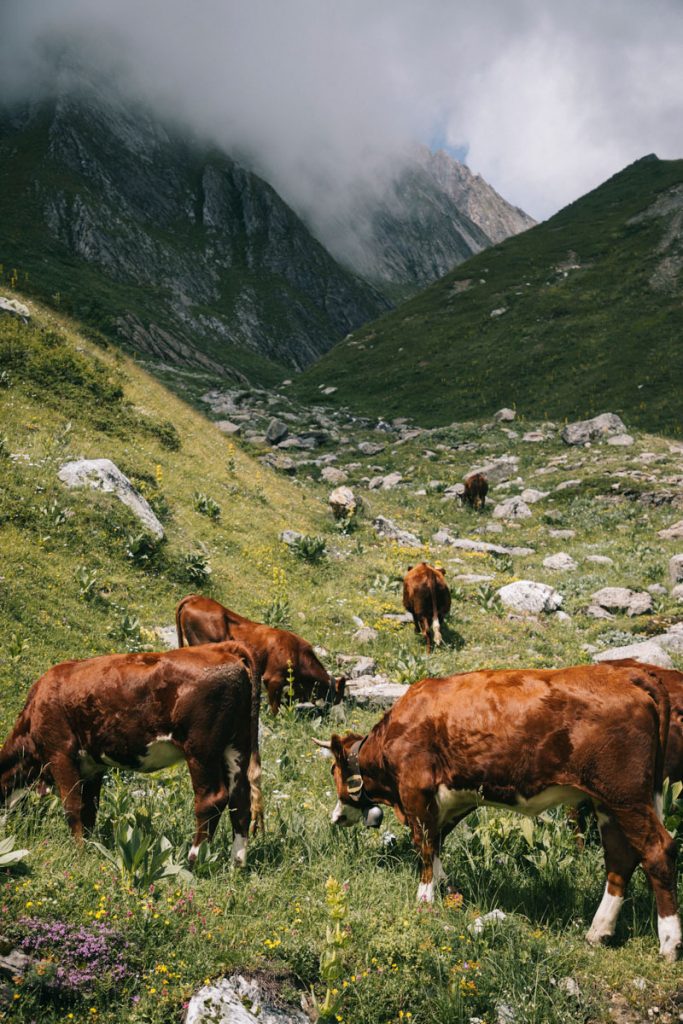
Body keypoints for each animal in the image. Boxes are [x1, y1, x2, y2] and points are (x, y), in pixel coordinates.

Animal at [0, 641, 263, 868]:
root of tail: (222, 648)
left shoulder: (60, 753)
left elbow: (73, 807)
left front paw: (78, 852)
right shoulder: (92, 766)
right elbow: (89, 809)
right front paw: (89, 844)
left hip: (201, 750)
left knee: (211, 799)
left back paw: (195, 859)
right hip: (237, 746)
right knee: (240, 801)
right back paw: (236, 864)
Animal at [176, 595, 346, 715]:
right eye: (335, 697)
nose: (329, 715)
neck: (298, 654)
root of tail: (195, 598)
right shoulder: (273, 678)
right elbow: (275, 708)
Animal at [316, 662, 681, 961]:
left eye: (334, 771)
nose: (335, 818)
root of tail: (627, 674)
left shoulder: (416, 791)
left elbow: (424, 846)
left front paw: (425, 899)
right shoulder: (455, 798)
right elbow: (436, 843)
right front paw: (447, 889)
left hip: (625, 795)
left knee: (657, 850)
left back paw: (669, 941)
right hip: (609, 801)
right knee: (620, 858)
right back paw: (599, 931)